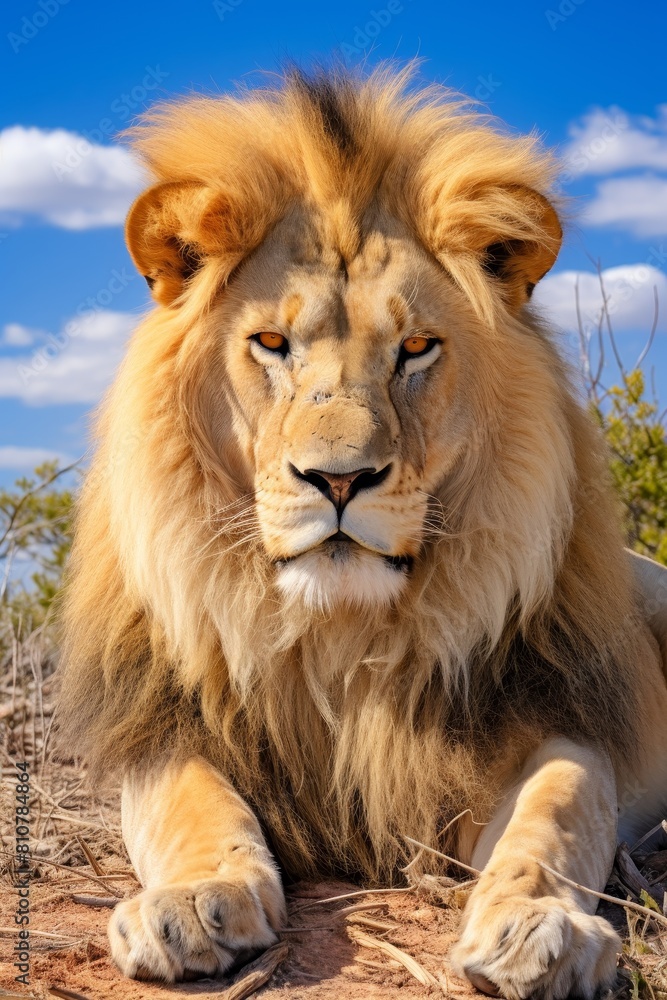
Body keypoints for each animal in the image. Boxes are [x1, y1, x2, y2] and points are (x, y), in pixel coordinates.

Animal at [57, 67, 667, 998]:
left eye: (415, 349)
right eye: (271, 342)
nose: (339, 480)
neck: (342, 633)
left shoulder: (562, 715)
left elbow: (557, 810)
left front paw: (541, 928)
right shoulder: (167, 725)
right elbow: (191, 801)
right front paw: (195, 902)